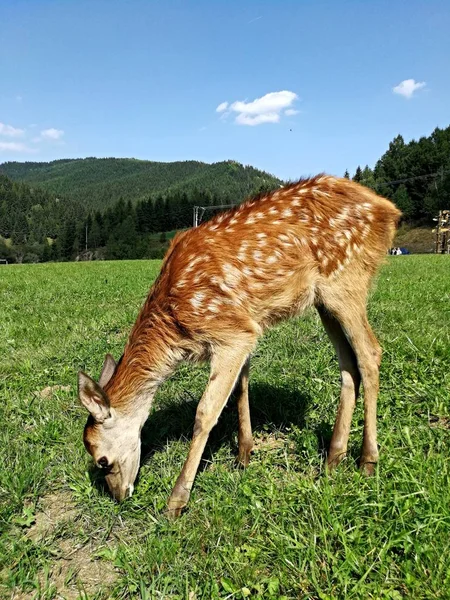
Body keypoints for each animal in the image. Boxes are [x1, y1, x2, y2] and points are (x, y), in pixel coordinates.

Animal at [78, 173, 400, 516]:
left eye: (102, 460)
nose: (118, 496)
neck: (174, 323)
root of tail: (389, 210)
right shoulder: (244, 329)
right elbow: (242, 388)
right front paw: (244, 453)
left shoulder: (230, 331)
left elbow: (205, 413)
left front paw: (176, 500)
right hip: (324, 300)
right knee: (348, 363)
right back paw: (333, 457)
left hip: (347, 281)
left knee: (370, 353)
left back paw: (367, 460)